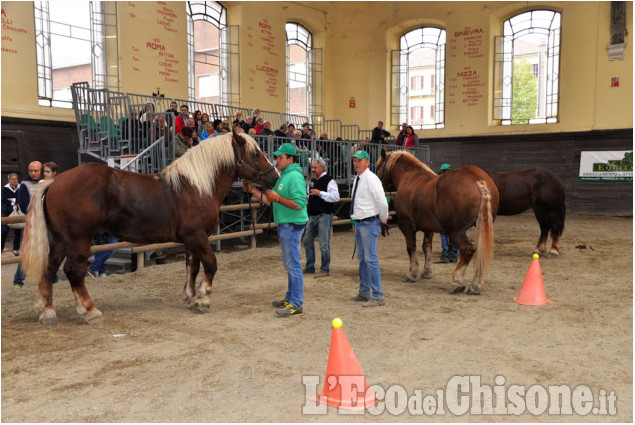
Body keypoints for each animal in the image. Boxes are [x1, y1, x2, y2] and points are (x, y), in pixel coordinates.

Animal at [21, 132, 280, 324]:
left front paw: (190, 298)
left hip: (60, 240)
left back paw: (47, 312)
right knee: (74, 271)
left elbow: (192, 267)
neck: (196, 186)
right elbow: (210, 264)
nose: (275, 177)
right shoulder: (197, 237)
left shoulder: (191, 240)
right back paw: (90, 311)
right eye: (255, 154)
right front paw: (204, 300)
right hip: (79, 239)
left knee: (49, 269)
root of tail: (55, 182)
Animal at [376, 150, 500, 294]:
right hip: (481, 227)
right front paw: (426, 272)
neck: (410, 177)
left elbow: (411, 247)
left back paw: (457, 281)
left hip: (455, 231)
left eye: (378, 167)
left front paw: (412, 273)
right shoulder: (428, 227)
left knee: (467, 249)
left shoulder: (407, 225)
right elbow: (426, 247)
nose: (378, 183)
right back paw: (476, 285)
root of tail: (477, 180)